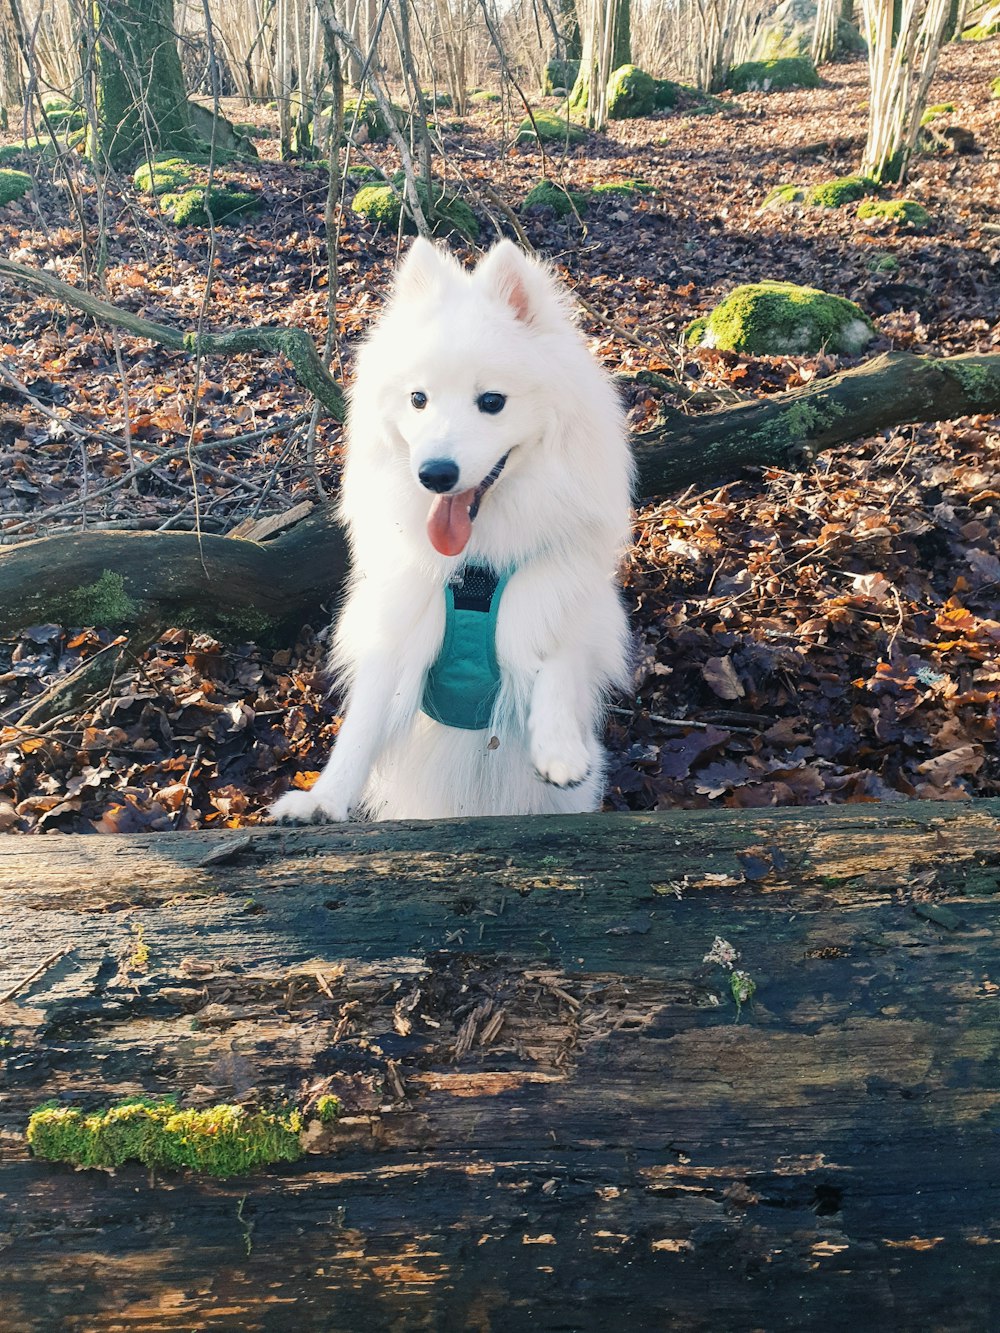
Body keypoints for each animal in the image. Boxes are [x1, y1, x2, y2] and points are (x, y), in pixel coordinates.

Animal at [272, 239, 634, 821]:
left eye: (492, 402)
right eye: (418, 399)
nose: (435, 474)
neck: (477, 566)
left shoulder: (566, 603)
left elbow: (559, 660)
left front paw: (558, 747)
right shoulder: (398, 629)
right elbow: (362, 728)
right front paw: (324, 800)